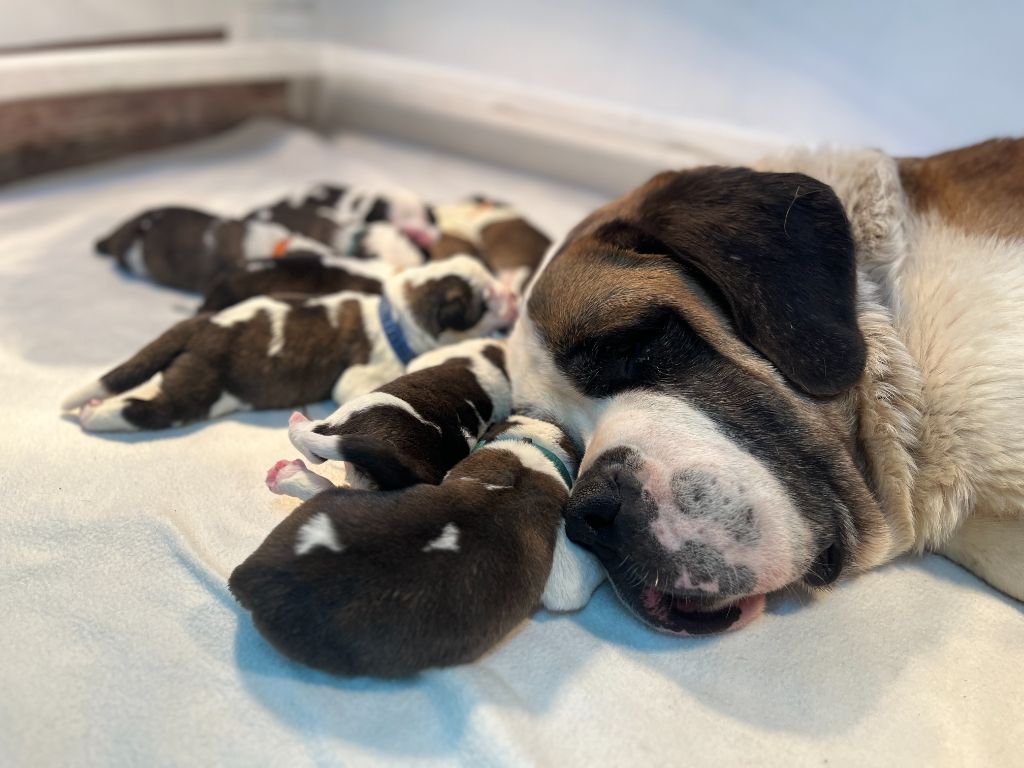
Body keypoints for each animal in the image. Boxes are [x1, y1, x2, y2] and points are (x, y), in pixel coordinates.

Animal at [59, 253, 516, 430]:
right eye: (485, 302)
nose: (511, 297)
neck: (396, 317)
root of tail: (202, 325)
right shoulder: (357, 375)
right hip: (198, 388)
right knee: (149, 409)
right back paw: (96, 414)